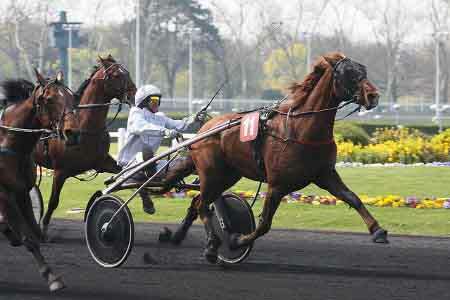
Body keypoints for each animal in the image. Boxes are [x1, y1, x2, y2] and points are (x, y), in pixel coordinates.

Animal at [0, 69, 80, 290]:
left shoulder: (21, 192)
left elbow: (33, 233)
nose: (73, 133)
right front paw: (51, 277)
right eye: (50, 99)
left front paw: (51, 274)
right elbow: (28, 238)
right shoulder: (5, 194)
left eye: (73, 98)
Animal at [35, 55, 135, 240]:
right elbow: (53, 201)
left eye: (127, 72)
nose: (134, 93)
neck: (84, 126)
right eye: (117, 75)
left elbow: (125, 173)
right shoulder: (60, 171)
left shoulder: (102, 161)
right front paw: (44, 228)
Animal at [162, 51, 386, 262]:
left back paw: (178, 236)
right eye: (349, 74)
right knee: (202, 205)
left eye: (364, 71)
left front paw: (378, 231)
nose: (374, 95)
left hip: (227, 175)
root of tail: (204, 129)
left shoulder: (325, 175)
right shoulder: (277, 185)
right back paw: (211, 246)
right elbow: (264, 224)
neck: (301, 129)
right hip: (211, 173)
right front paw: (237, 240)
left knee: (198, 201)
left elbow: (353, 198)